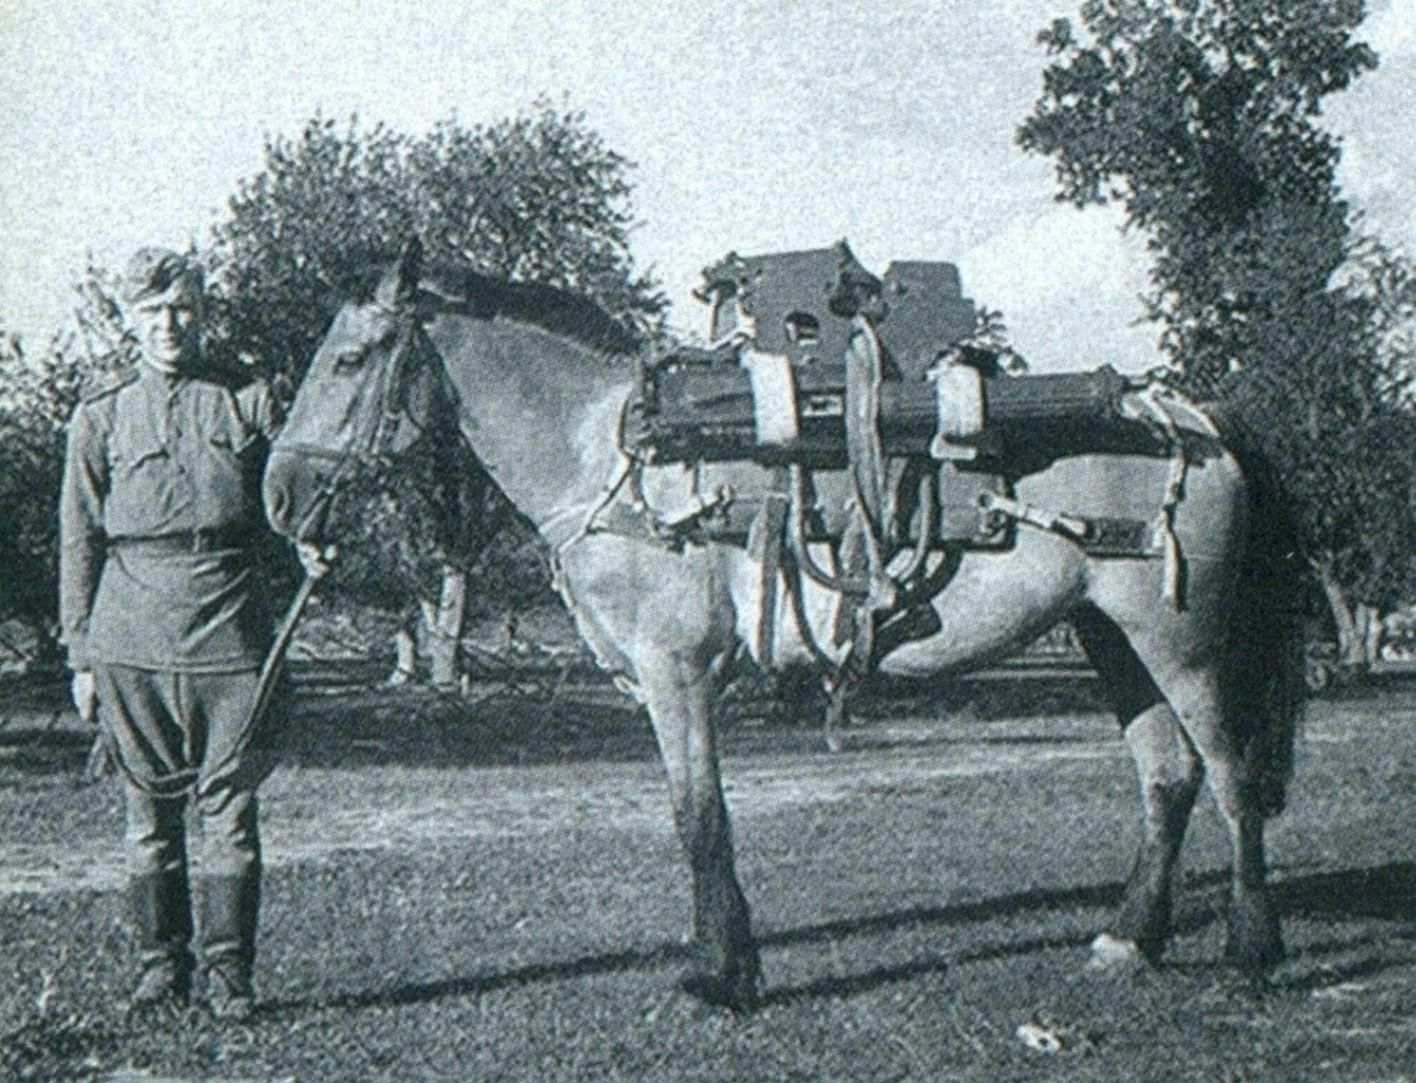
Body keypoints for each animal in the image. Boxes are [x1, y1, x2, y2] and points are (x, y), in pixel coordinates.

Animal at [260, 239, 1297, 1013]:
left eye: (349, 359)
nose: (278, 492)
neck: (623, 457)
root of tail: (1192, 415)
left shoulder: (676, 672)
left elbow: (699, 816)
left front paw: (722, 976)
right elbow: (700, 813)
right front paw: (732, 962)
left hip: (1182, 642)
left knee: (1231, 774)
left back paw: (1252, 949)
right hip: (1111, 638)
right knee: (1168, 773)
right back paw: (1130, 938)